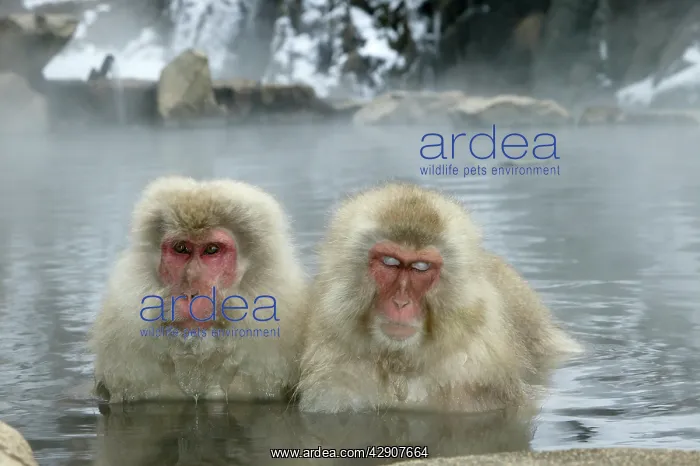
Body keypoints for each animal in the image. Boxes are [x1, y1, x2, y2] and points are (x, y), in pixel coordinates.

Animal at [297, 182, 581, 414]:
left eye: (421, 267)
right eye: (390, 262)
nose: (401, 303)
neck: (401, 364)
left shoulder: (476, 374)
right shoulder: (335, 373)